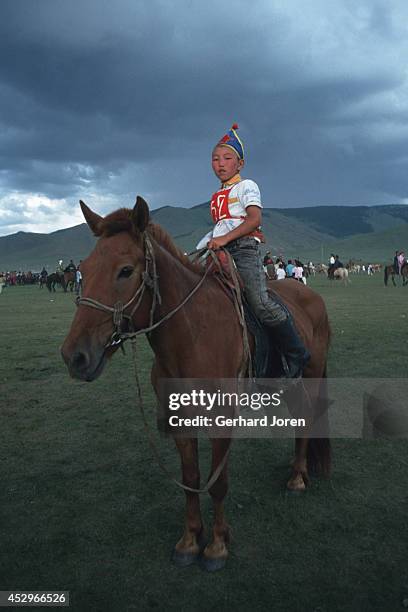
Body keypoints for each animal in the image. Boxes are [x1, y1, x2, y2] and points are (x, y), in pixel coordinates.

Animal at [60, 198, 330, 572]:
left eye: (125, 270)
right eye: (83, 269)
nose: (75, 356)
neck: (191, 334)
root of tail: (310, 295)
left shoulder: (222, 419)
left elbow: (218, 484)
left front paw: (217, 545)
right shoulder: (180, 419)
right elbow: (190, 480)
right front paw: (189, 540)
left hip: (313, 372)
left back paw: (298, 478)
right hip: (288, 382)